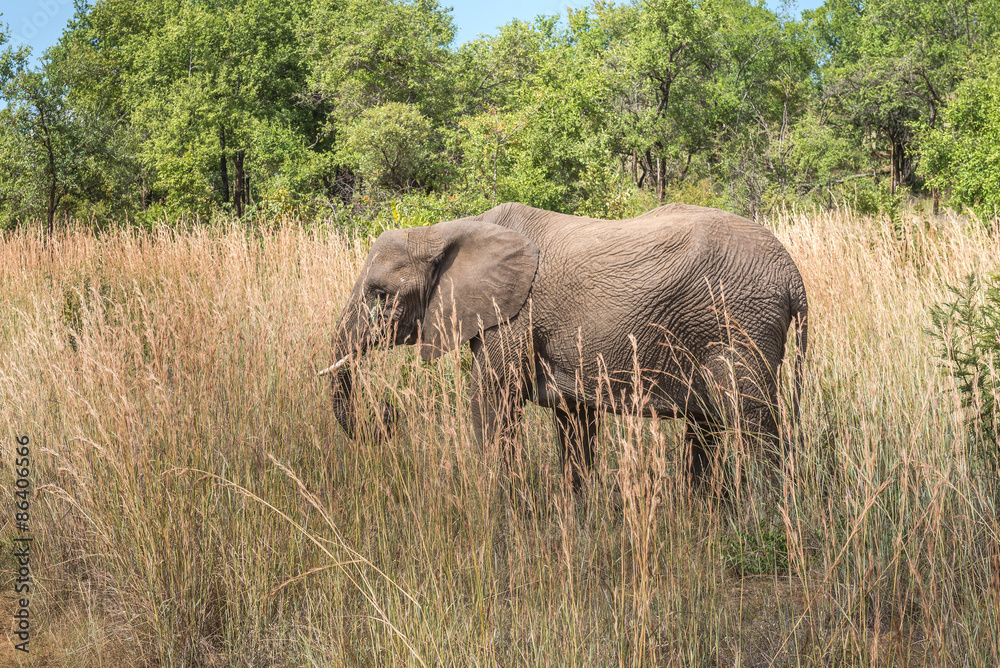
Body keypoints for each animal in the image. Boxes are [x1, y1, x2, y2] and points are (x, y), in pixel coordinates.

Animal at [321, 202, 808, 490]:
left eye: (381, 295)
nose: (388, 416)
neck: (447, 229)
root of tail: (793, 277)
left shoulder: (515, 316)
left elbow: (491, 400)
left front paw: (498, 504)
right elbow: (574, 422)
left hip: (737, 326)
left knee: (751, 420)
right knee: (707, 425)